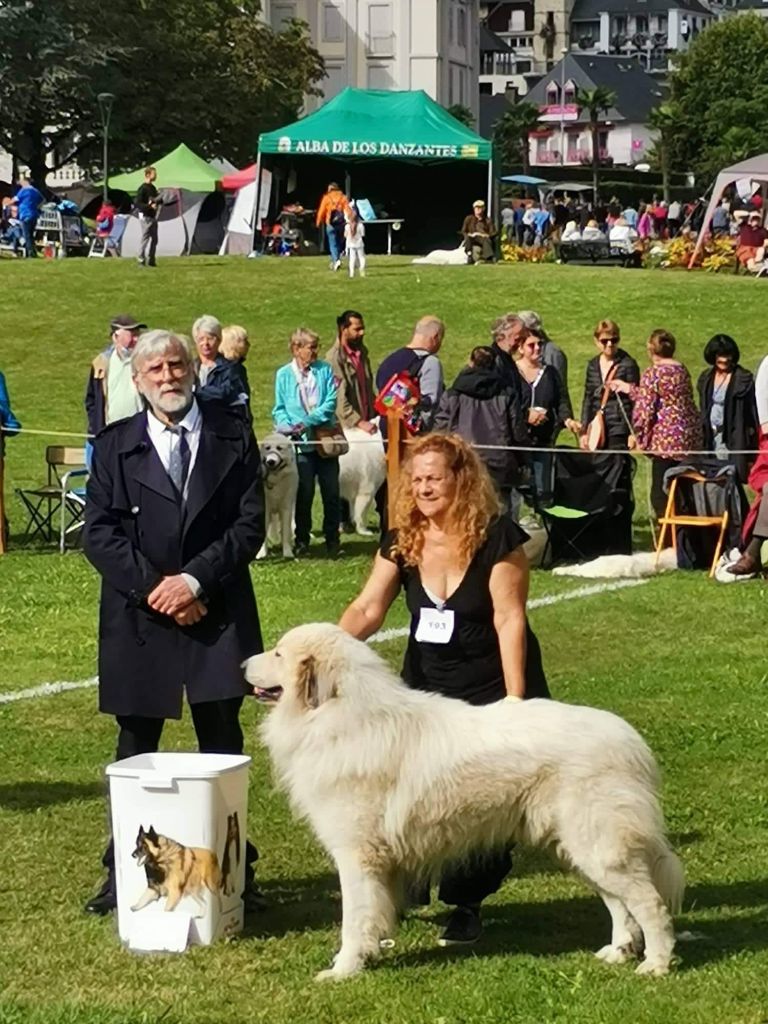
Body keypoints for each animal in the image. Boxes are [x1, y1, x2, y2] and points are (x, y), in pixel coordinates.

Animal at [246, 622, 684, 983]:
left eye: (279, 654)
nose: (241, 664)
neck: (340, 717)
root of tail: (630, 741)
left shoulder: (357, 856)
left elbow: (354, 919)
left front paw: (344, 969)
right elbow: (373, 915)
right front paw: (365, 957)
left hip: (598, 845)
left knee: (649, 903)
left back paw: (656, 964)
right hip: (580, 848)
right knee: (619, 902)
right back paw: (619, 951)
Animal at [256, 432, 296, 561]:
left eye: (279, 448)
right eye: (267, 448)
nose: (271, 462)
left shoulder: (286, 508)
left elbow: (285, 531)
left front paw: (287, 552)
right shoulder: (265, 510)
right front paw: (261, 553)